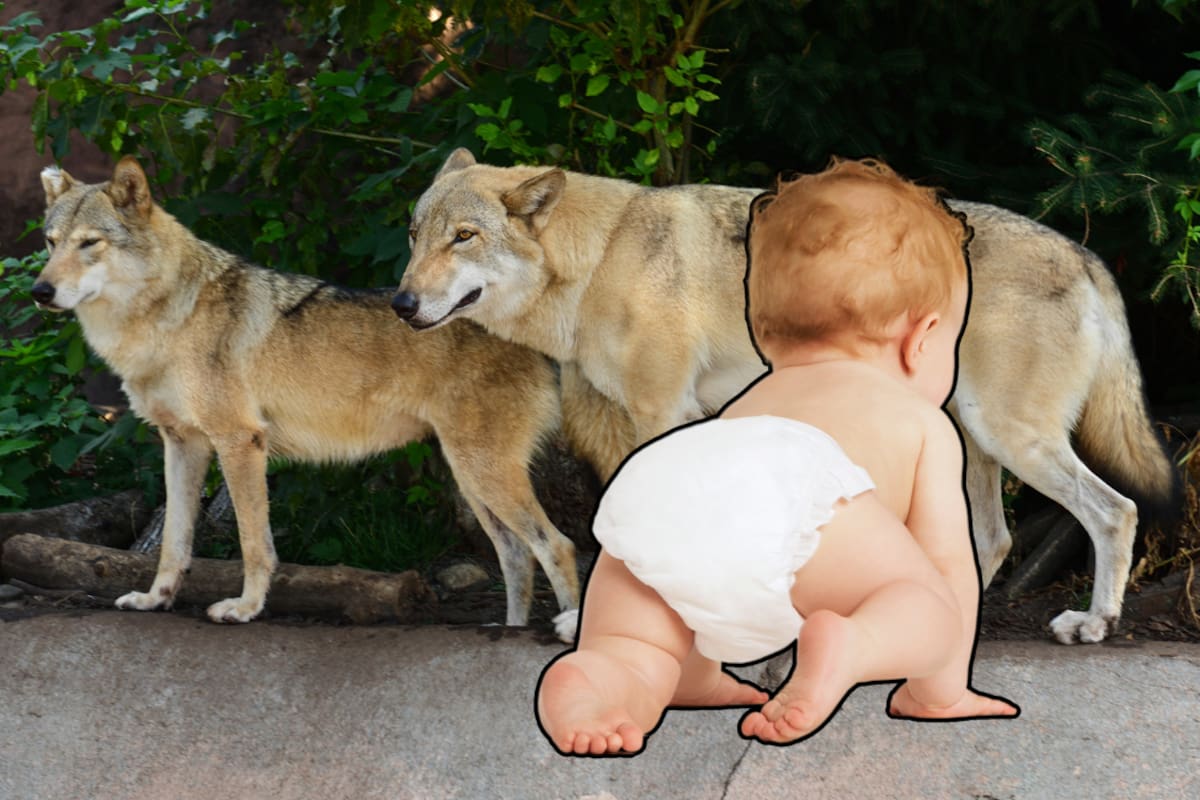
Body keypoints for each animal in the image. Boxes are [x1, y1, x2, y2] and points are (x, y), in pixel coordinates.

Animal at [32, 156, 579, 632]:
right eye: (51, 243)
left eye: (90, 243)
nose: (39, 291)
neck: (164, 319)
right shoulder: (182, 443)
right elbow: (173, 542)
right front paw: (155, 599)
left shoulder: (240, 442)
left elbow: (254, 544)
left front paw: (246, 609)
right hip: (472, 480)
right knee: (517, 555)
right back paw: (508, 629)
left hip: (484, 473)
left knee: (558, 545)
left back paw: (567, 630)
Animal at [393, 148, 1179, 645]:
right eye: (414, 234)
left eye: (464, 237)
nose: (401, 302)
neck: (602, 257)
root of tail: (1085, 254)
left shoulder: (660, 416)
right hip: (973, 443)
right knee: (995, 541)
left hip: (1011, 437)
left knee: (1114, 512)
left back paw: (1094, 623)